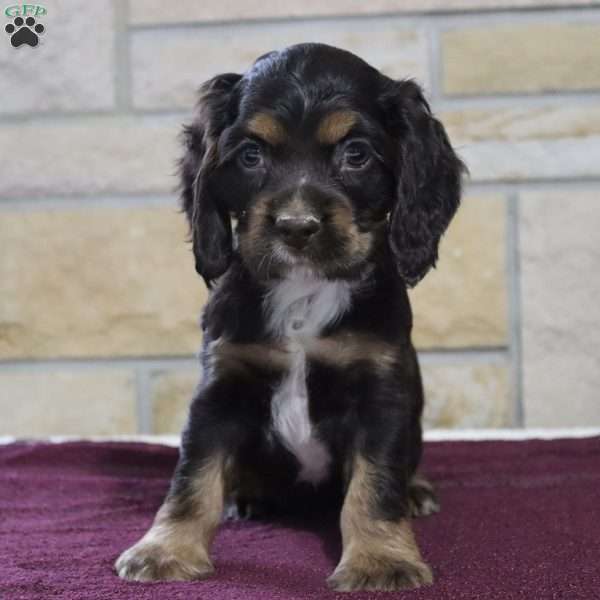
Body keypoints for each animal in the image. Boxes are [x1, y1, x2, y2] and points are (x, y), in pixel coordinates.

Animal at [116, 42, 464, 592]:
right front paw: (164, 549)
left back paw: (415, 490)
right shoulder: (220, 386)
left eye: (356, 154)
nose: (296, 226)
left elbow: (375, 484)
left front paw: (379, 560)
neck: (303, 290)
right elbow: (192, 478)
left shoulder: (380, 391)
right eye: (251, 155)